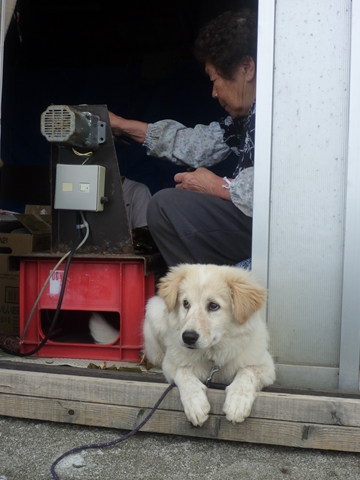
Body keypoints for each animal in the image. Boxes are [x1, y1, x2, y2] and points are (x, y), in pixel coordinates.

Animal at [142, 264, 274, 426]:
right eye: (186, 304)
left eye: (213, 306)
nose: (188, 337)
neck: (212, 354)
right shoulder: (171, 364)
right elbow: (184, 372)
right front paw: (196, 404)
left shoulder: (265, 366)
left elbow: (247, 372)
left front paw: (237, 402)